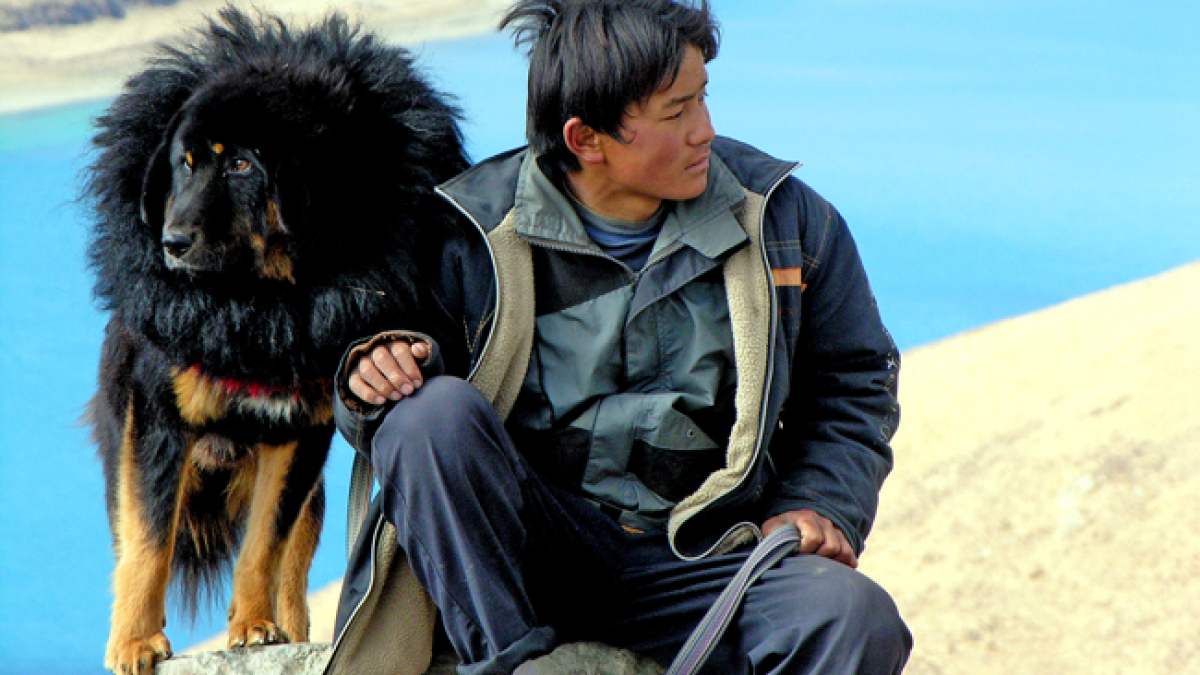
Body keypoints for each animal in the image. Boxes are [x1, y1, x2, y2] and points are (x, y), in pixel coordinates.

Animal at [84, 7, 465, 667]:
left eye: (241, 164)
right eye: (184, 164)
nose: (170, 242)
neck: (262, 312)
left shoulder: (300, 433)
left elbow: (266, 544)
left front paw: (256, 624)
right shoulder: (157, 422)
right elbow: (149, 543)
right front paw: (135, 641)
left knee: (293, 555)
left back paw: (291, 628)